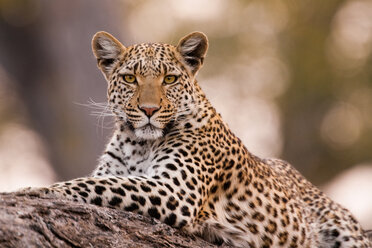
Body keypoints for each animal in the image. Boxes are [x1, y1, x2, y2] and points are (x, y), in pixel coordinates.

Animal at [18, 31, 372, 248]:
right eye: (130, 79)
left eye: (170, 79)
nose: (148, 110)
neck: (139, 144)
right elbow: (102, 180)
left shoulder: (176, 191)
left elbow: (95, 185)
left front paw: (35, 190)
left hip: (344, 230)